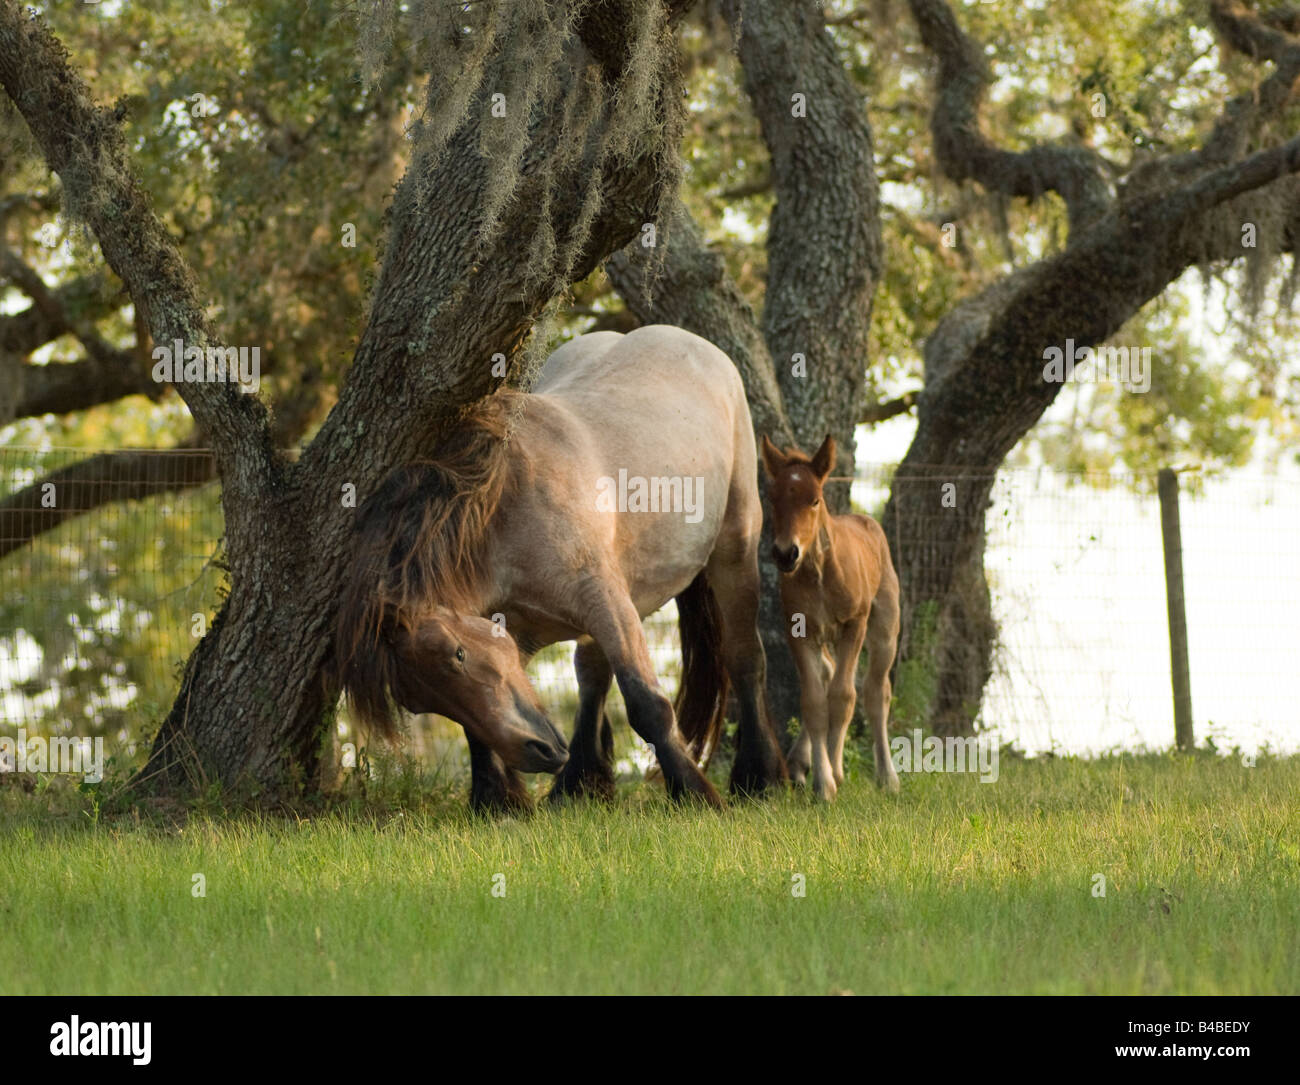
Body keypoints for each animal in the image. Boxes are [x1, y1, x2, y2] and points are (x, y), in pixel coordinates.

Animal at [335, 326, 785, 810]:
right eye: (418, 702)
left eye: (457, 654)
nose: (538, 753)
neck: (503, 507)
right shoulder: (525, 628)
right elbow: (481, 731)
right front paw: (496, 800)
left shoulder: (606, 600)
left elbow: (647, 705)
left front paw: (695, 793)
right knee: (592, 675)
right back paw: (581, 782)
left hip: (734, 550)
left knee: (745, 658)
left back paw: (760, 776)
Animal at [759, 431, 904, 795]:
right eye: (772, 499)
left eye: (814, 500)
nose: (786, 553)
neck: (818, 573)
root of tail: (865, 521)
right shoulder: (799, 631)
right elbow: (814, 700)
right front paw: (822, 782)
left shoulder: (854, 625)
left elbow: (843, 696)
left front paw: (835, 773)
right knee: (827, 674)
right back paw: (800, 763)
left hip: (884, 630)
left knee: (875, 692)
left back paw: (887, 777)